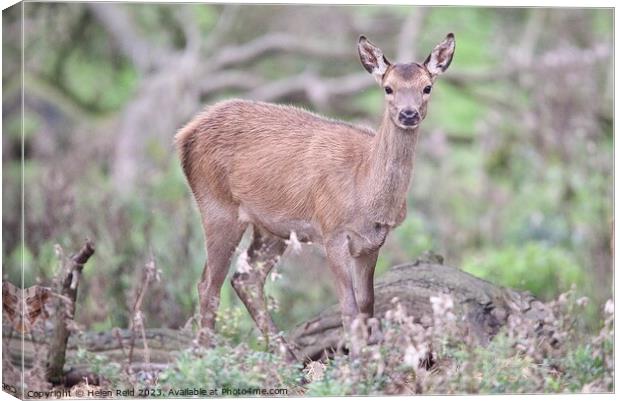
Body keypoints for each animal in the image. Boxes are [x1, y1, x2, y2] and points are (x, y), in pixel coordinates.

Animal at [174, 33, 456, 360]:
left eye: (427, 87)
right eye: (388, 87)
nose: (408, 114)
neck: (365, 190)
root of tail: (185, 135)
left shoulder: (371, 243)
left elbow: (367, 305)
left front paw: (369, 358)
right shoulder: (332, 231)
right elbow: (349, 308)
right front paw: (356, 363)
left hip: (272, 228)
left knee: (245, 278)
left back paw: (287, 355)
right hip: (217, 206)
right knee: (208, 284)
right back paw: (204, 356)